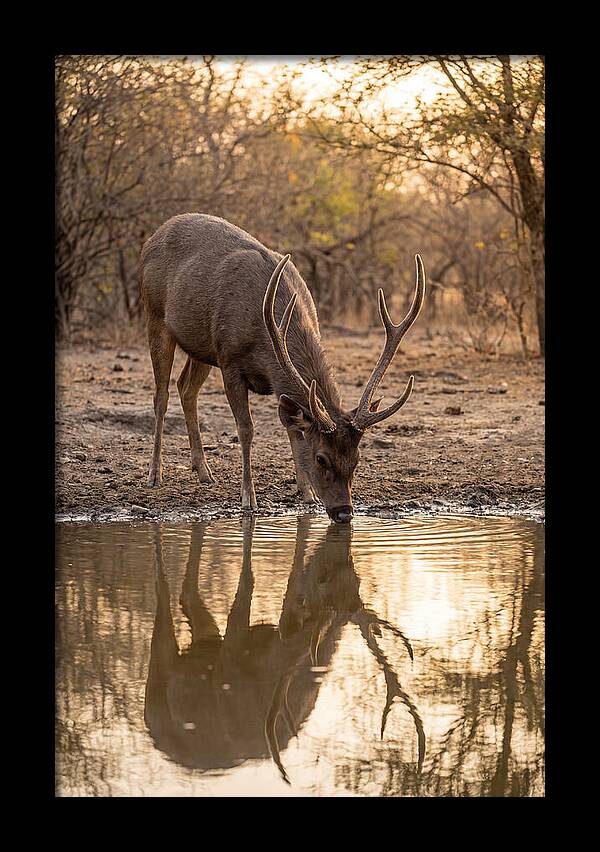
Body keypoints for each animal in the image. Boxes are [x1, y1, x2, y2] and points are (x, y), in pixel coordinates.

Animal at [140, 213, 426, 523]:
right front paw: (248, 499)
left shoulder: (265, 375)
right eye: (321, 458)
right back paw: (155, 474)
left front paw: (307, 493)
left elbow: (293, 428)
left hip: (201, 346)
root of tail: (153, 237)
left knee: (186, 388)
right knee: (161, 396)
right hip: (155, 316)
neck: (264, 336)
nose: (344, 512)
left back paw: (204, 471)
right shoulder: (229, 360)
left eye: (357, 458)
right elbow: (246, 428)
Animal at [144, 515, 425, 784]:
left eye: (357, 579)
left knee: (188, 597)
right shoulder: (229, 661)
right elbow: (250, 583)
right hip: (158, 687)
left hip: (205, 643)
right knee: (163, 609)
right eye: (323, 577)